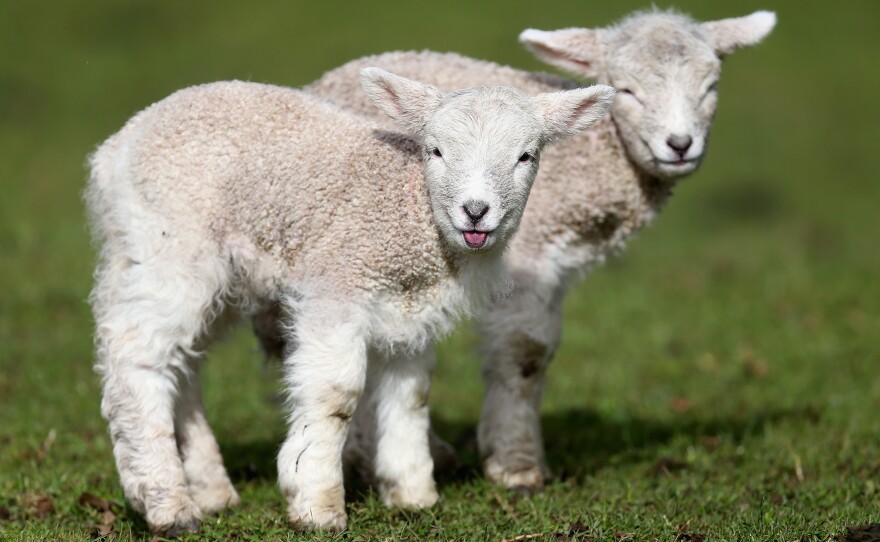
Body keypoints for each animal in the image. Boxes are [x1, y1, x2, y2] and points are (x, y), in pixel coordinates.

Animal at [86, 67, 615, 535]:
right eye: (436, 150)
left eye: (526, 156)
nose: (476, 212)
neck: (408, 211)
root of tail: (114, 149)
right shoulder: (336, 286)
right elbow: (335, 395)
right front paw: (316, 503)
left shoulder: (411, 310)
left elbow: (411, 394)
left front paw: (412, 493)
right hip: (172, 244)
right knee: (137, 353)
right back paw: (167, 504)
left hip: (200, 268)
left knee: (183, 361)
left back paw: (211, 490)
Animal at [253, 9, 776, 491]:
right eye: (626, 91)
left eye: (711, 87)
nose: (680, 145)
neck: (591, 158)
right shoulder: (527, 254)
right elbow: (525, 352)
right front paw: (516, 464)